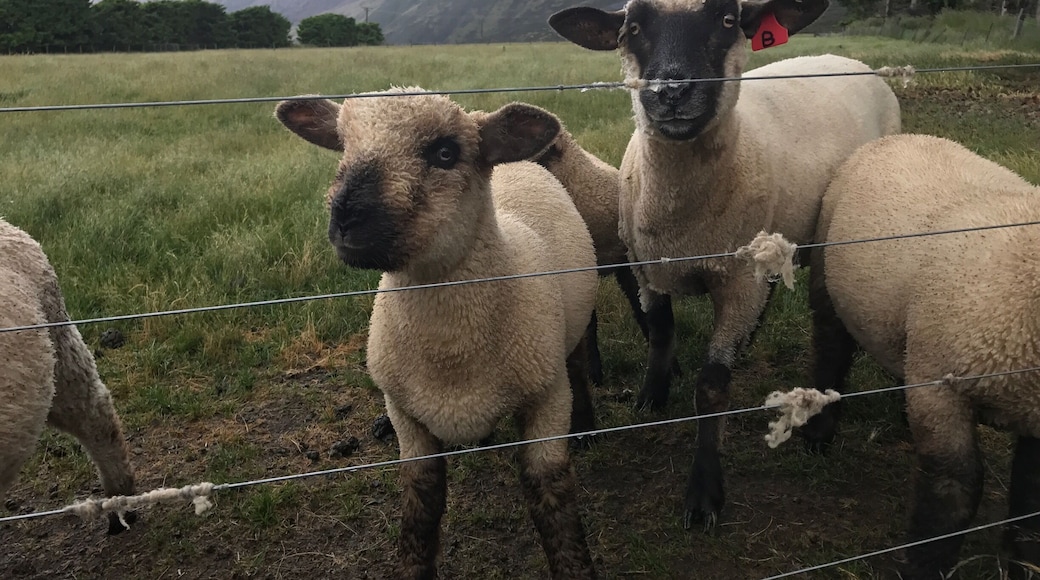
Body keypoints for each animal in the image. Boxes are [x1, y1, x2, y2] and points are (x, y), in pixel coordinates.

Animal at [275, 89, 599, 579]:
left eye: (446, 153)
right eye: (344, 145)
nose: (348, 217)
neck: (451, 354)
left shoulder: (547, 400)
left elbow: (554, 503)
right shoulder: (406, 417)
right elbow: (420, 511)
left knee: (578, 362)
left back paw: (587, 427)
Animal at [549, 0, 902, 529]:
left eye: (728, 21)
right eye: (632, 27)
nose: (671, 92)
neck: (683, 218)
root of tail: (850, 60)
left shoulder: (738, 287)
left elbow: (713, 387)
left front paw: (703, 496)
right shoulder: (646, 266)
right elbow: (660, 331)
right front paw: (651, 397)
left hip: (838, 230)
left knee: (830, 324)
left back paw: (820, 431)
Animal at [812, 133, 1040, 580]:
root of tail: (903, 136)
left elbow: (1031, 502)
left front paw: (1024, 566)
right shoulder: (941, 387)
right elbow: (953, 488)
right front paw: (925, 563)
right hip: (826, 276)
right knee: (830, 349)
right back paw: (816, 435)